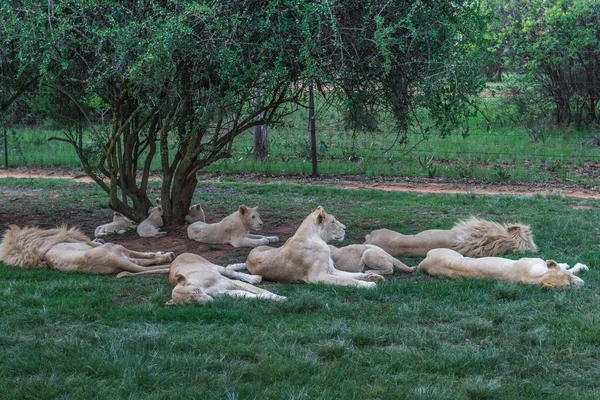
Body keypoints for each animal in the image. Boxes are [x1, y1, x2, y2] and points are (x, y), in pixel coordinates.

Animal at [0, 225, 175, 276]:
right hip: (114, 247)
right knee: (140, 256)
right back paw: (167, 254)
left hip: (122, 258)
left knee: (141, 261)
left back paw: (165, 256)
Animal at [246, 206, 386, 288]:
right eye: (333, 221)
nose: (345, 228)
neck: (318, 238)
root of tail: (249, 256)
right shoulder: (318, 277)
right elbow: (347, 281)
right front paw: (369, 284)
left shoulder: (331, 270)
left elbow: (353, 275)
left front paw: (373, 277)